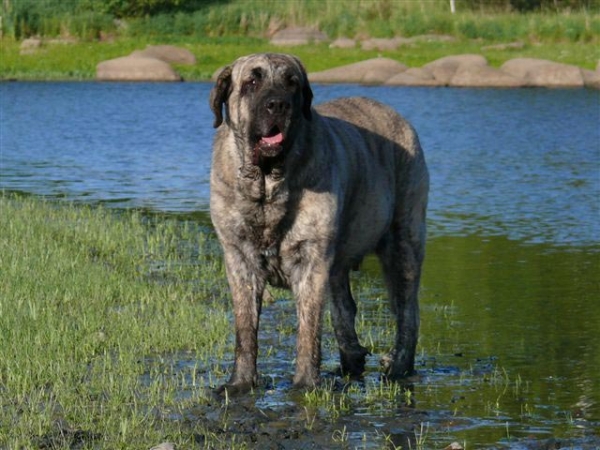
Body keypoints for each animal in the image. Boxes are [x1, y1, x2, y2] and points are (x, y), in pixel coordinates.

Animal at [209, 52, 428, 394]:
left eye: (292, 83)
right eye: (252, 81)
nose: (278, 104)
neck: (268, 184)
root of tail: (399, 118)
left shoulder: (311, 262)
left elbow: (308, 328)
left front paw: (305, 384)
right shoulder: (239, 259)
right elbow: (245, 329)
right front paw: (240, 383)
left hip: (403, 241)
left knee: (407, 311)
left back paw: (398, 366)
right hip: (340, 261)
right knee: (345, 308)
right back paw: (352, 360)